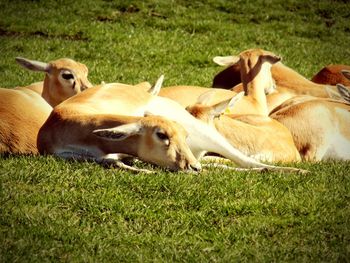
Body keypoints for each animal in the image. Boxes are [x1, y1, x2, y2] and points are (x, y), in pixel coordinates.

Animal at [38, 75, 304, 174]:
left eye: (182, 135)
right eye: (161, 135)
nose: (192, 167)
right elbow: (113, 161)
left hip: (206, 136)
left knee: (246, 161)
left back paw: (298, 171)